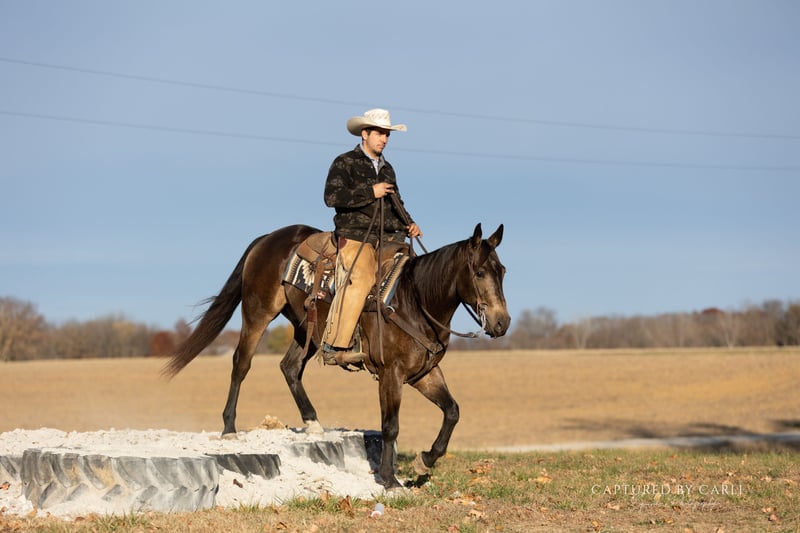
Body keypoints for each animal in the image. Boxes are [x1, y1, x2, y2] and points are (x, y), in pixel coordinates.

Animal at [163, 223, 510, 489]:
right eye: (479, 272)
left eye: (503, 271)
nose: (502, 323)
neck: (414, 301)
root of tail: (267, 238)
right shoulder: (391, 373)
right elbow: (390, 426)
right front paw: (388, 479)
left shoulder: (424, 374)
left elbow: (452, 411)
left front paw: (425, 462)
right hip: (257, 312)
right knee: (241, 364)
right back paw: (229, 428)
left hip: (306, 328)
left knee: (289, 367)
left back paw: (313, 423)